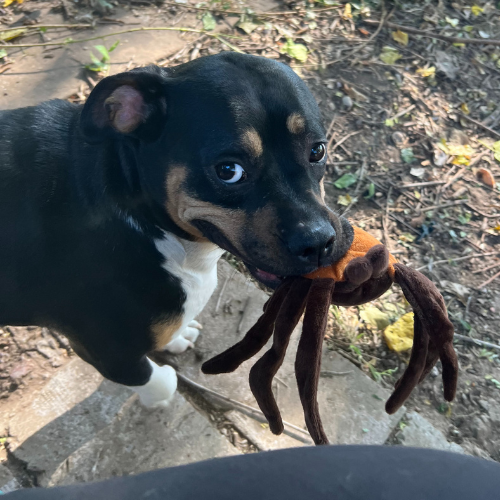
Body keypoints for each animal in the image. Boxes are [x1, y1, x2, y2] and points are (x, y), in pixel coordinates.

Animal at [0, 53, 352, 406]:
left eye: (317, 150)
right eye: (229, 170)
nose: (318, 242)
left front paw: (176, 337)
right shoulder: (108, 352)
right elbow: (152, 378)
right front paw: (162, 391)